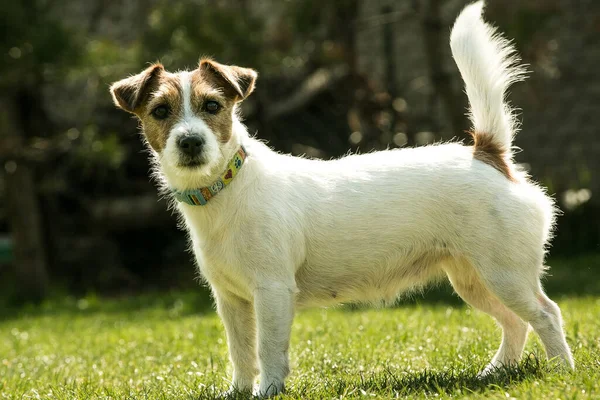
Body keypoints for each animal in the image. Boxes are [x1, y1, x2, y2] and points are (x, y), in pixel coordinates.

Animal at [110, 1, 576, 396]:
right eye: (160, 112)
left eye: (212, 106)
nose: (190, 142)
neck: (226, 188)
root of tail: (488, 154)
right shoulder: (231, 300)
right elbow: (241, 352)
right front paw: (240, 392)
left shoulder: (272, 292)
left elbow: (267, 349)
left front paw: (268, 391)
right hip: (474, 279)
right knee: (516, 323)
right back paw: (497, 373)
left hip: (504, 273)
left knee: (546, 314)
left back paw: (562, 373)